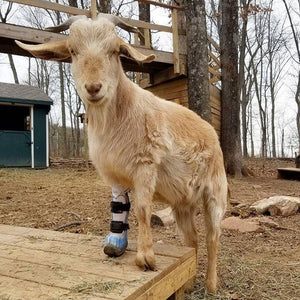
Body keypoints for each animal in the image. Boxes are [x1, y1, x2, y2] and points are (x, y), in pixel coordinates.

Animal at [17, 14, 227, 292]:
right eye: (72, 51)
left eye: (115, 50)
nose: (94, 87)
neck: (119, 117)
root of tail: (209, 130)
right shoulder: (112, 172)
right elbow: (119, 205)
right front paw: (115, 245)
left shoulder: (146, 163)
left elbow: (143, 208)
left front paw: (146, 258)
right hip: (182, 201)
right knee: (191, 239)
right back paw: (189, 282)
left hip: (215, 190)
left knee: (213, 236)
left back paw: (211, 284)